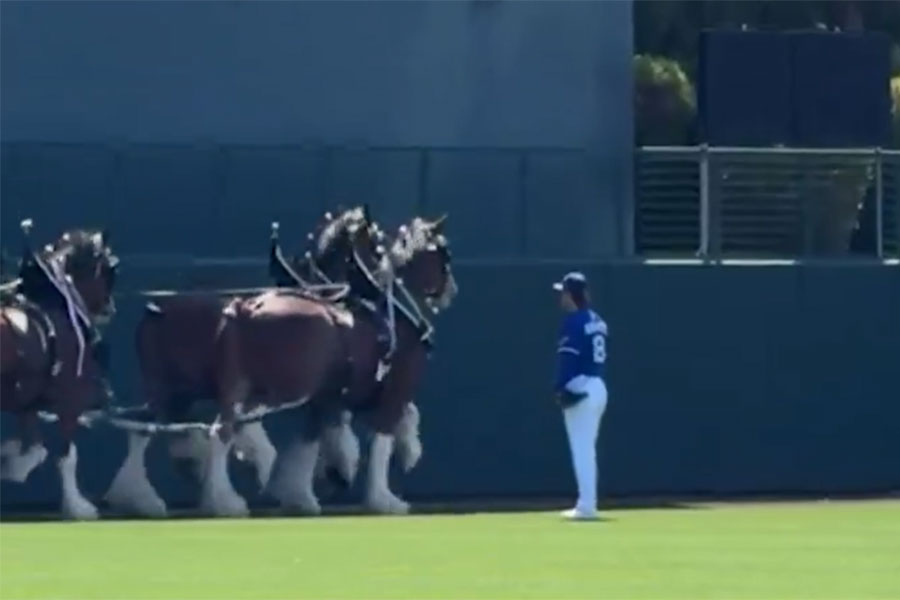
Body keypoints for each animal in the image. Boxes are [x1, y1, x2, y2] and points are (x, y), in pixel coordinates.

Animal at [0, 221, 118, 520]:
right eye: (111, 267)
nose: (109, 308)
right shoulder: (70, 401)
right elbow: (65, 455)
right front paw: (78, 507)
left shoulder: (26, 399)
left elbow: (35, 447)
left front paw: (12, 464)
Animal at [104, 206, 380, 516]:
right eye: (374, 246)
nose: (376, 286)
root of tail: (156, 309)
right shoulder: (316, 393)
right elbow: (328, 435)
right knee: (211, 432)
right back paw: (222, 500)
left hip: (168, 390)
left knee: (144, 428)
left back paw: (142, 496)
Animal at [215, 216, 458, 516]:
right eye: (443, 256)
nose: (452, 290)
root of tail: (251, 307)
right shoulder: (394, 393)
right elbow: (381, 442)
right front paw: (383, 498)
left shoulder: (328, 401)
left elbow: (312, 443)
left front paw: (301, 493)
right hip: (282, 387)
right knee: (230, 426)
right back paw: (236, 486)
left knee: (225, 427)